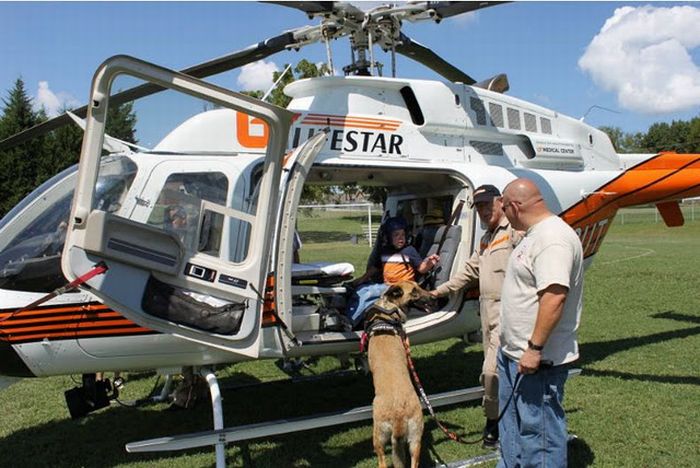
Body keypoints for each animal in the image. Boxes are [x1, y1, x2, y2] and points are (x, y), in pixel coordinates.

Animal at [366, 282, 432, 468]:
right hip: (416, 439)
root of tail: (399, 415)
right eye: (415, 291)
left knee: (381, 461)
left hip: (378, 436)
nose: (433, 296)